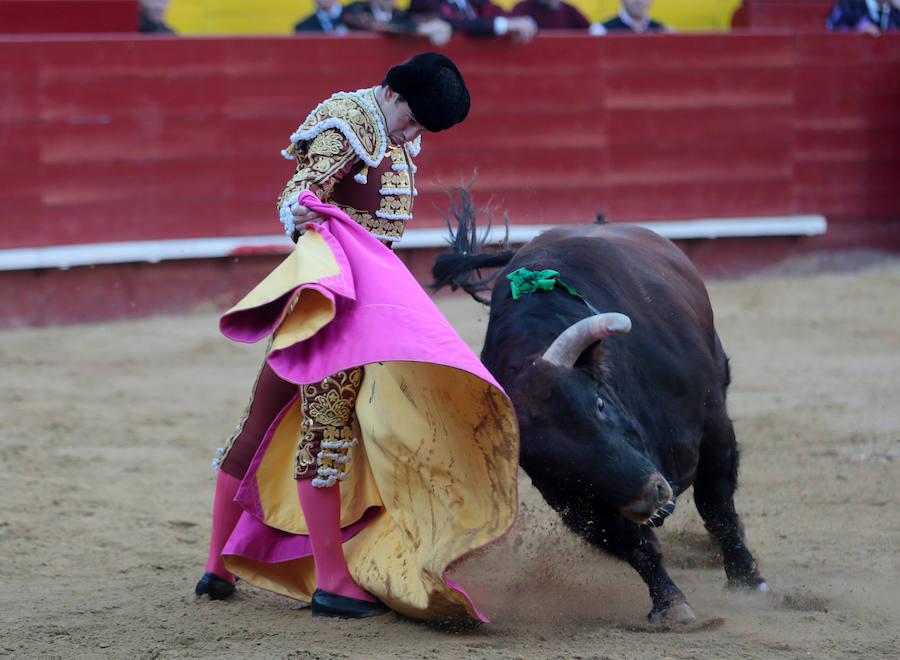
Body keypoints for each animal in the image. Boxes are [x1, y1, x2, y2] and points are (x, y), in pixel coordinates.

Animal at [434, 197, 768, 624]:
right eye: (548, 462)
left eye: (598, 404)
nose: (649, 496)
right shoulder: (576, 502)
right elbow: (635, 545)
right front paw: (669, 603)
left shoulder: (713, 427)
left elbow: (717, 507)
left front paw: (747, 581)